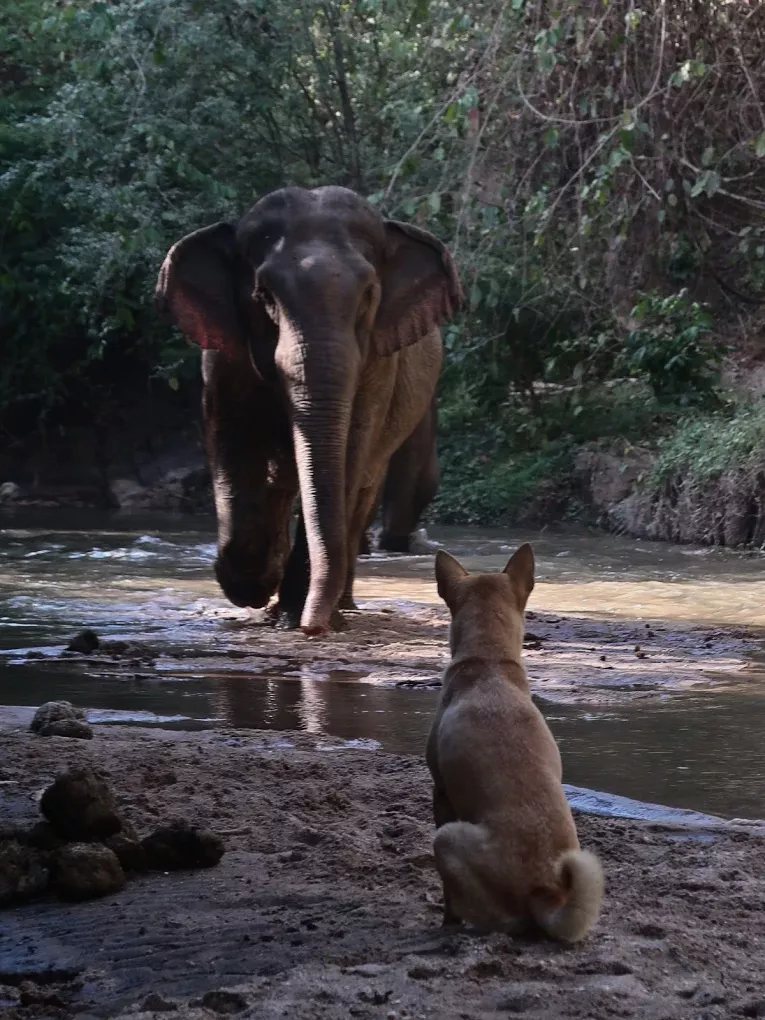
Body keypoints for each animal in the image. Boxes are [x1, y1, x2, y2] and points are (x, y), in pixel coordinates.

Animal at [155, 186, 463, 636]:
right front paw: (255, 586)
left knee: (361, 490)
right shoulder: (224, 358)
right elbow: (234, 444)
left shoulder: (379, 364)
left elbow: (350, 450)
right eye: (263, 296)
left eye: (369, 295)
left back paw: (339, 607)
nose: (312, 629)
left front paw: (293, 613)